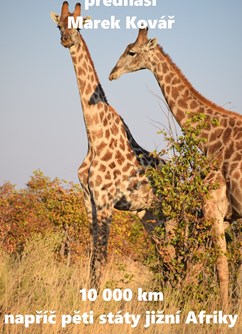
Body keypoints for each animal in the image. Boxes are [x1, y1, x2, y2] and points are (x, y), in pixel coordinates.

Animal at [50, 3, 161, 288]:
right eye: (59, 25)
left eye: (79, 26)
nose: (66, 39)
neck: (94, 137)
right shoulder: (88, 200)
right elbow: (92, 256)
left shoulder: (105, 200)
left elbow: (101, 255)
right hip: (149, 213)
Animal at [109, 27, 242, 310]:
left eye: (131, 52)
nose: (112, 73)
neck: (211, 139)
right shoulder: (228, 216)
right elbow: (202, 266)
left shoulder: (213, 210)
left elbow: (221, 270)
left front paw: (224, 313)